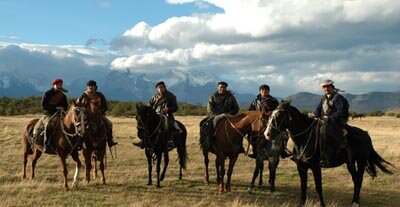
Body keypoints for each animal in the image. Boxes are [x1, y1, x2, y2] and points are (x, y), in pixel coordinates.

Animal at [264, 101, 392, 207]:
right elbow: (303, 186)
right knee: (355, 179)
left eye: (279, 116)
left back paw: (355, 202)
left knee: (359, 179)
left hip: (360, 162)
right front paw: (301, 203)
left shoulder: (316, 167)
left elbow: (318, 187)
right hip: (350, 163)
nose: (267, 134)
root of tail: (366, 134)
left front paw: (322, 204)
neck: (304, 139)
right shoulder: (301, 167)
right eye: (270, 115)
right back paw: (354, 200)